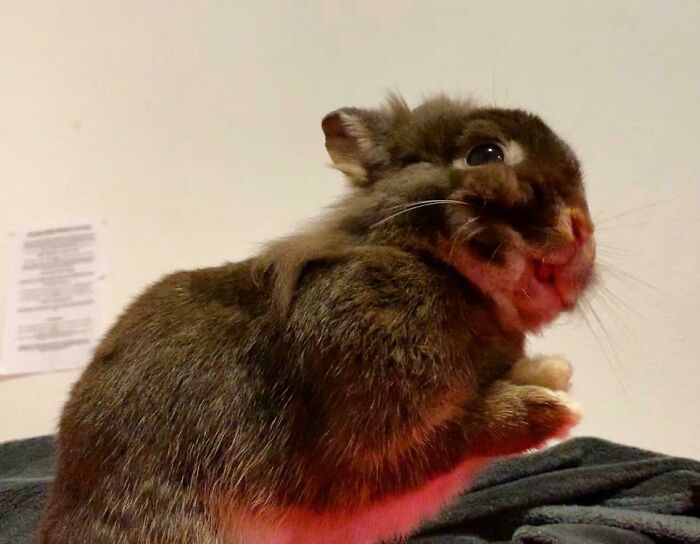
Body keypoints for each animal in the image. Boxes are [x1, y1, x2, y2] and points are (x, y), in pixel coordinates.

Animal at [38, 94, 595, 544]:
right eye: (485, 154)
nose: (581, 229)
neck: (435, 266)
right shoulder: (360, 445)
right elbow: (459, 434)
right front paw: (549, 411)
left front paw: (552, 373)